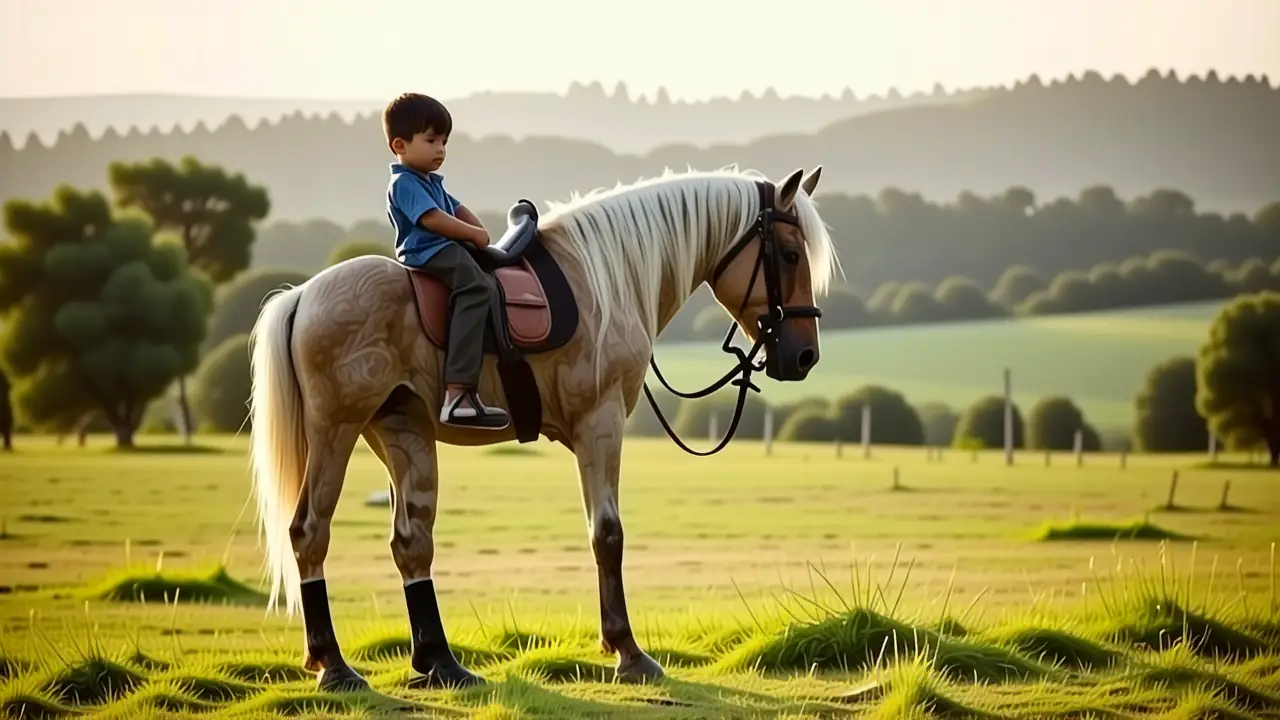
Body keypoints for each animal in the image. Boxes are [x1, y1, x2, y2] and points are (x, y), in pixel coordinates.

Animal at [245, 164, 841, 691]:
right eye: (790, 254)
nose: (805, 355)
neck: (611, 279)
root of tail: (303, 296)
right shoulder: (599, 424)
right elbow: (608, 534)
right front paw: (627, 651)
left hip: (403, 433)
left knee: (412, 542)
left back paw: (441, 665)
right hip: (337, 429)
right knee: (310, 532)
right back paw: (334, 665)